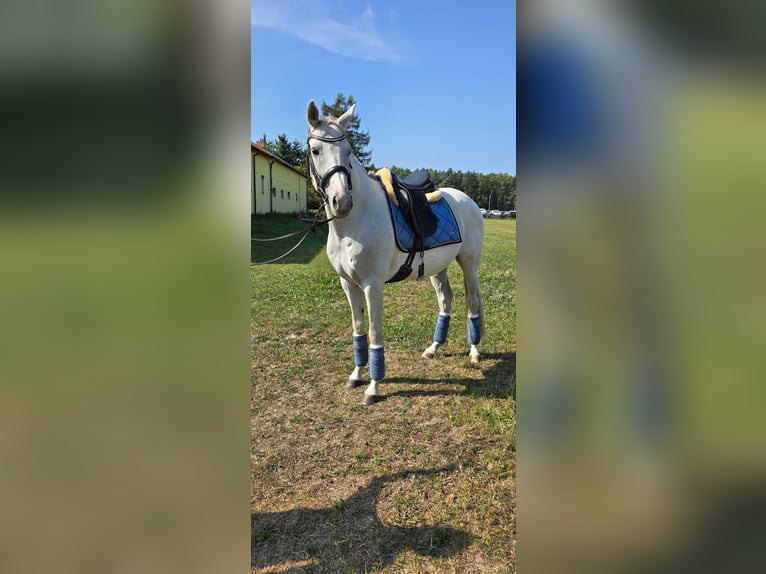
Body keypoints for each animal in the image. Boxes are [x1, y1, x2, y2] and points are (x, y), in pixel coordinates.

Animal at [308, 100, 484, 404]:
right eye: (315, 150)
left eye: (348, 151)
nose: (342, 202)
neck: (355, 221)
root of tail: (468, 200)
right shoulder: (348, 284)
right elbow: (358, 329)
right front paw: (356, 375)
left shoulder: (372, 285)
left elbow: (375, 333)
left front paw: (373, 388)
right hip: (438, 268)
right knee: (446, 300)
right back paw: (433, 348)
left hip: (469, 266)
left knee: (472, 303)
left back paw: (473, 352)